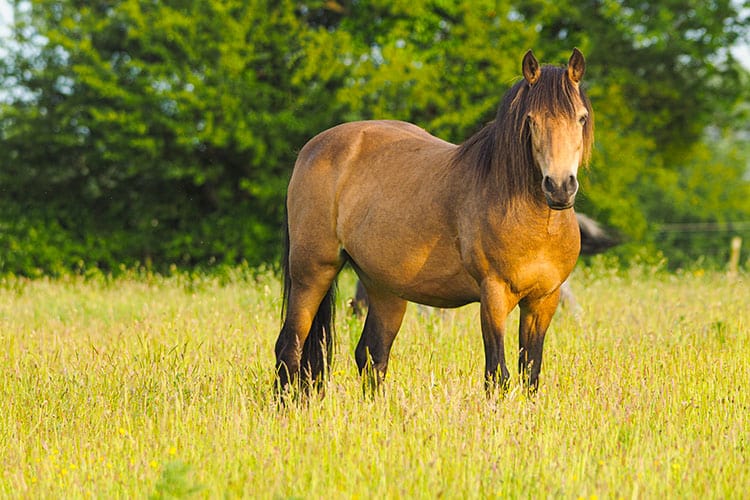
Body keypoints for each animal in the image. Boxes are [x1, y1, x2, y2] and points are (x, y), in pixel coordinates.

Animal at [274, 49, 596, 394]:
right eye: (531, 120)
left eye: (581, 118)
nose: (559, 186)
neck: (534, 222)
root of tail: (311, 149)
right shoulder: (493, 296)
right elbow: (497, 374)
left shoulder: (544, 301)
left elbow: (530, 375)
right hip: (312, 274)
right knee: (289, 348)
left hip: (383, 287)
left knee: (372, 355)